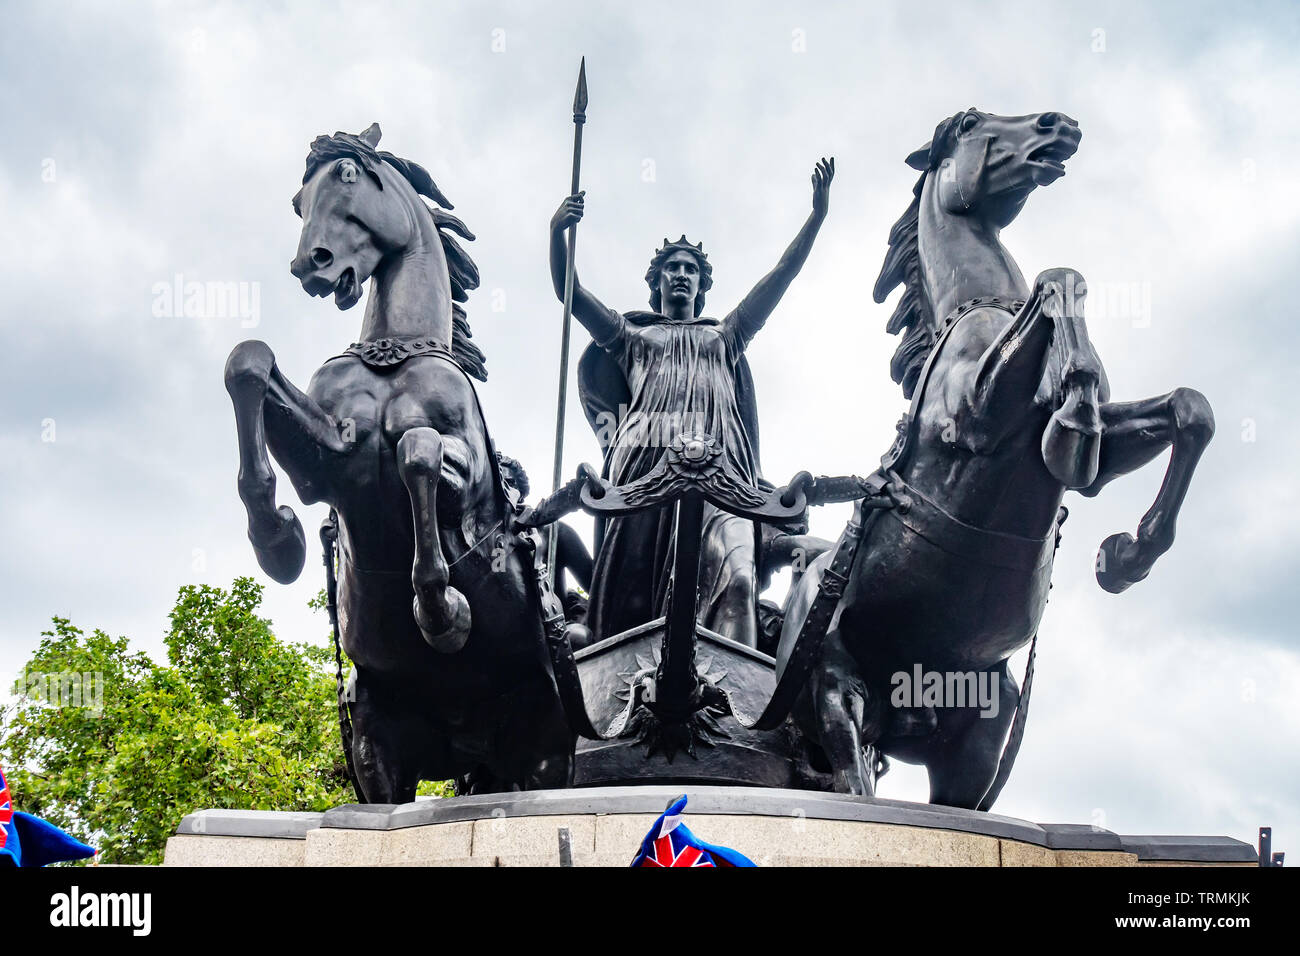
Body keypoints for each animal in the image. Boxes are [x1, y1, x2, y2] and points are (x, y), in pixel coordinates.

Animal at [226, 125, 572, 801]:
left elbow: (418, 454)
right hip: (376, 743)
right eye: (298, 200)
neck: (396, 352)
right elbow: (249, 361)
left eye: (347, 177)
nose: (311, 265)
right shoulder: (330, 460)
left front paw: (442, 614)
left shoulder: (466, 473)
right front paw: (278, 539)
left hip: (540, 749)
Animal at [774, 113, 1211, 816]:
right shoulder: (976, 415)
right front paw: (1074, 412)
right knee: (851, 782)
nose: (1058, 124)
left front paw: (1126, 555)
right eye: (971, 124)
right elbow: (1059, 277)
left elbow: (1188, 410)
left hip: (978, 733)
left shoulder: (1100, 463)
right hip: (836, 691)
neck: (981, 311)